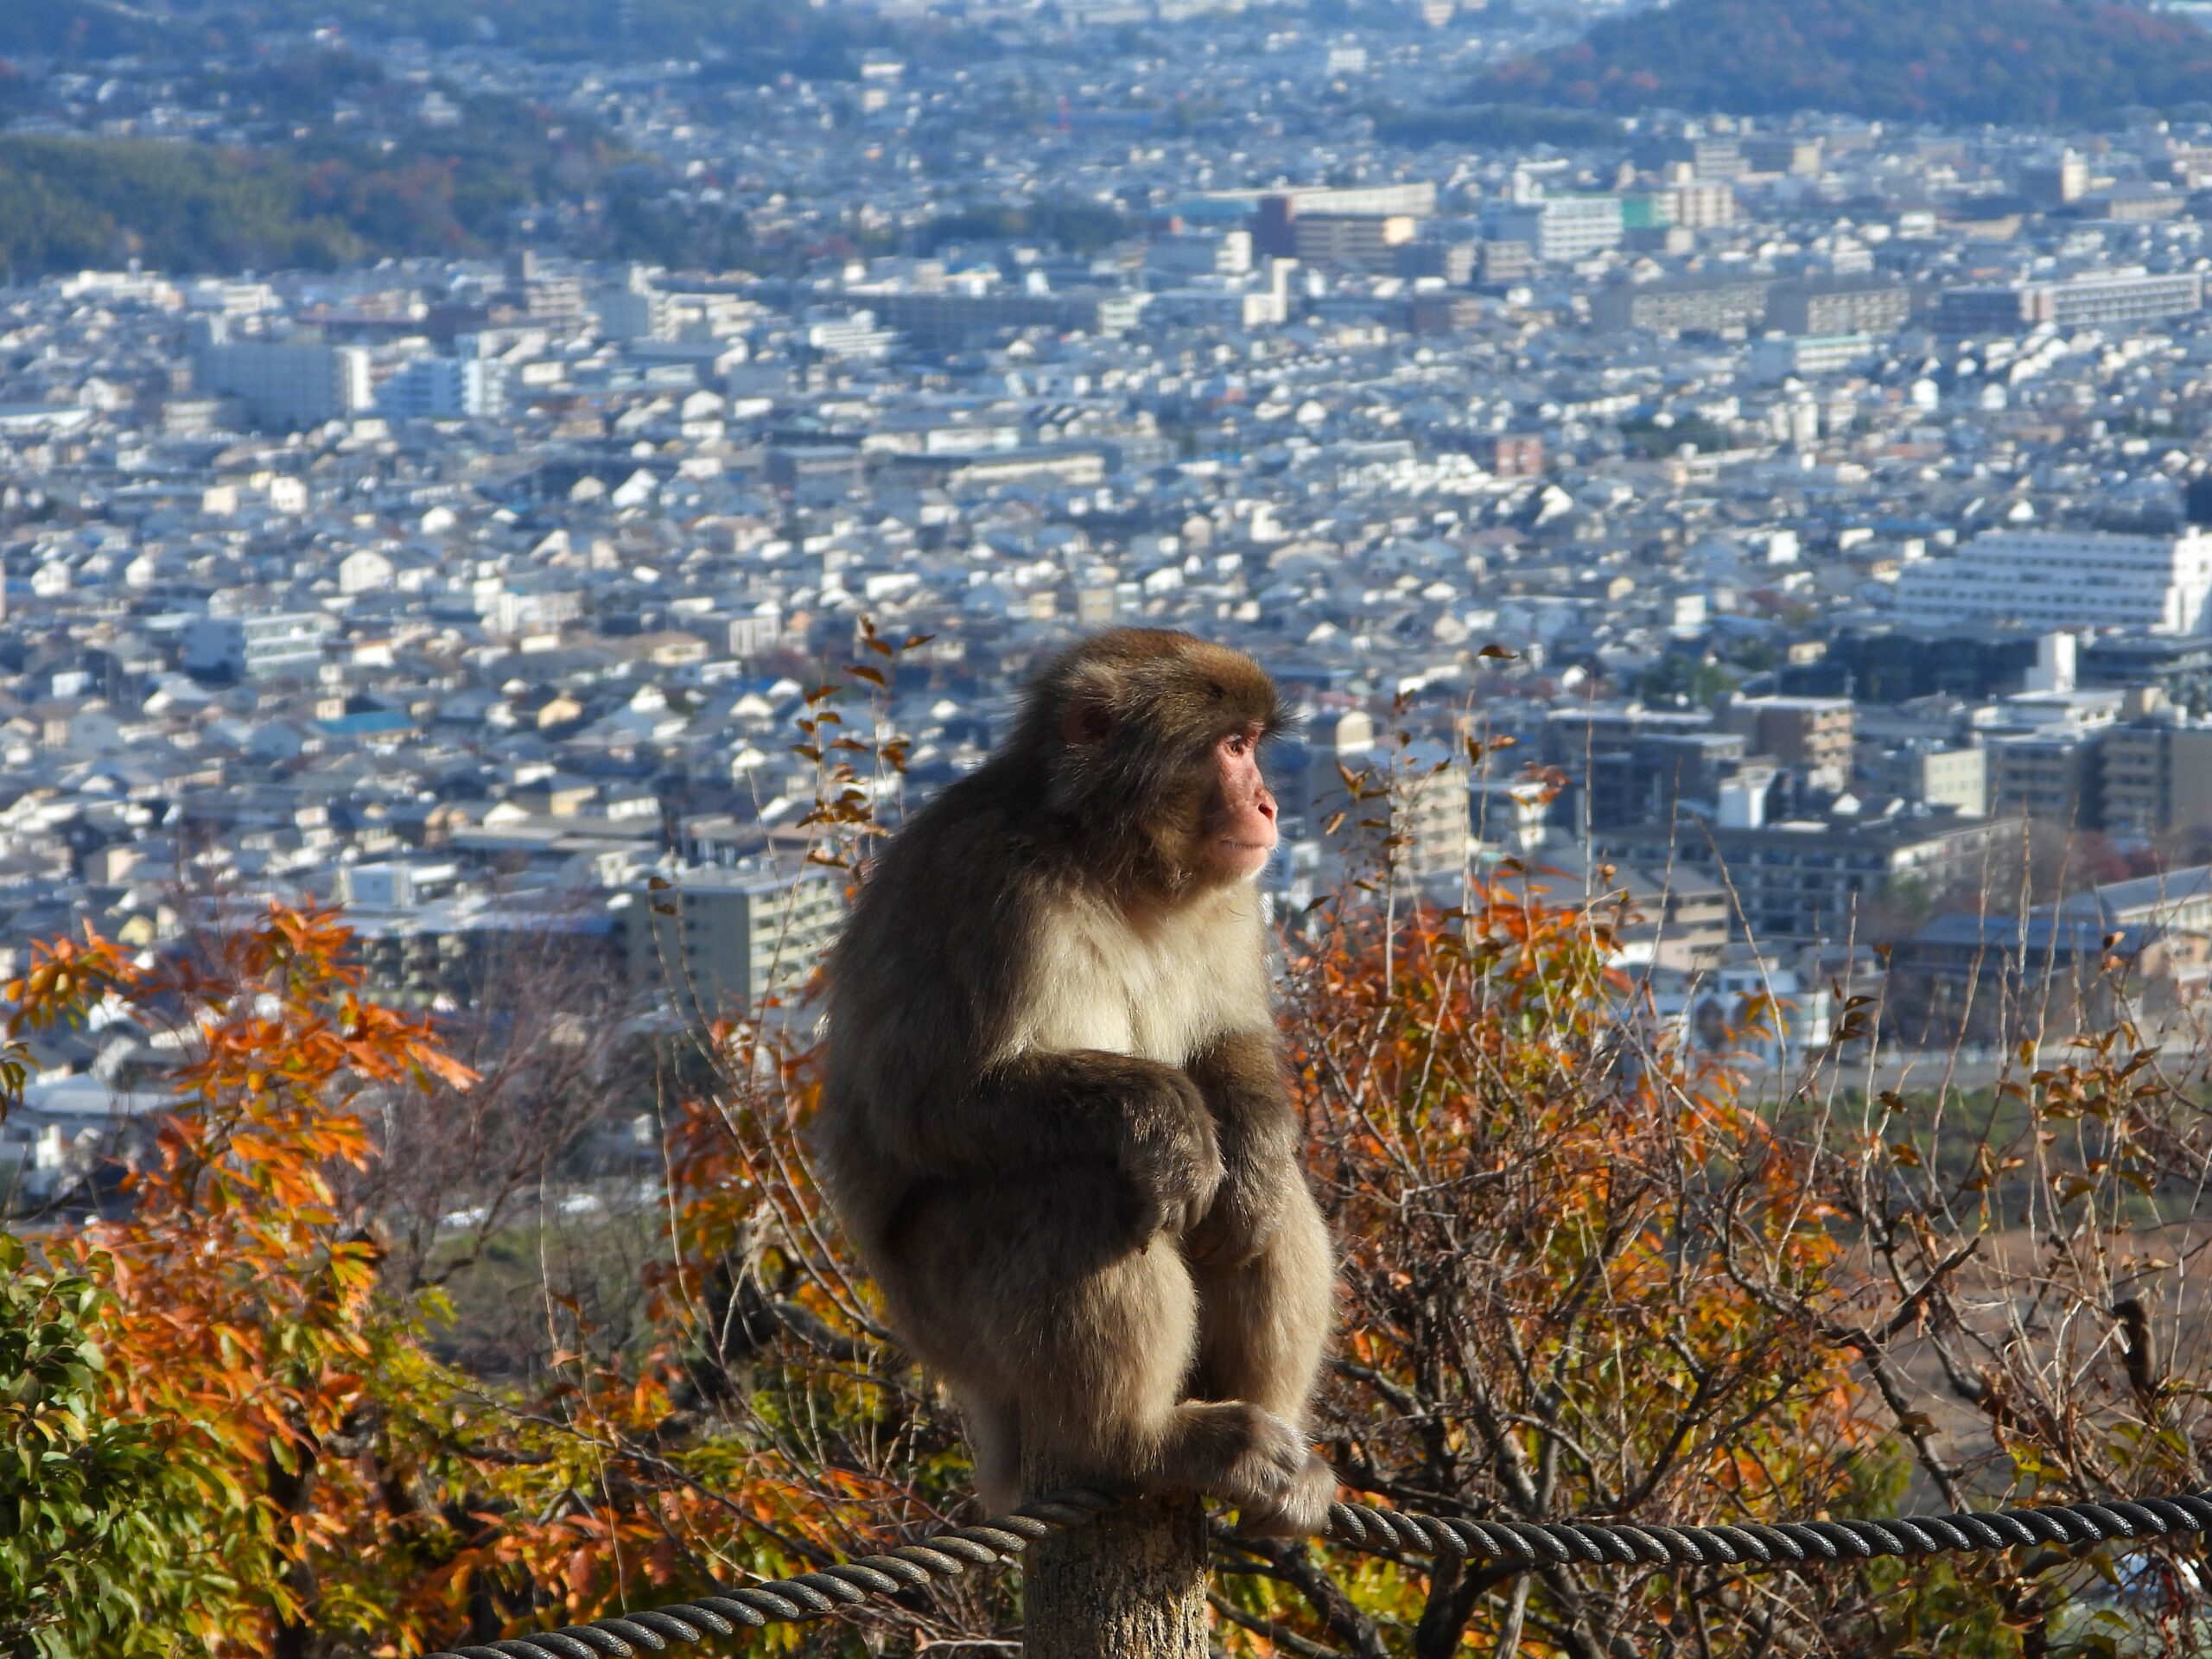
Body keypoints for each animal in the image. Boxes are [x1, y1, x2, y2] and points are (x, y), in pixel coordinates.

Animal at [813, 628, 1338, 1538]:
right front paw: (1167, 1121)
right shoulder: (992, 895)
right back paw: (1143, 1443)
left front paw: (1255, 1154)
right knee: (1075, 1196)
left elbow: (1230, 1042)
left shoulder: (1236, 898)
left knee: (1260, 1212)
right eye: (1232, 749)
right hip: (952, 1321)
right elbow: (925, 1105)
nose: (1270, 805)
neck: (1109, 860)